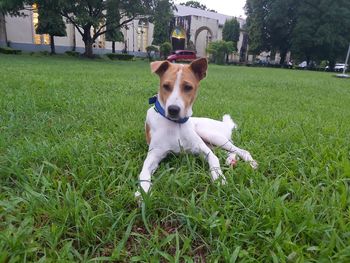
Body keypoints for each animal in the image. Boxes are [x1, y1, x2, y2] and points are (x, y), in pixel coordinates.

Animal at [135, 57, 258, 198]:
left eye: (188, 87)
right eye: (165, 86)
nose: (173, 110)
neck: (176, 124)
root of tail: (225, 124)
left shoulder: (202, 150)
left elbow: (214, 159)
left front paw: (219, 178)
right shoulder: (154, 154)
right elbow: (144, 172)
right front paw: (143, 192)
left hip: (209, 134)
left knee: (241, 150)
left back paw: (251, 163)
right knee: (228, 151)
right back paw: (231, 160)